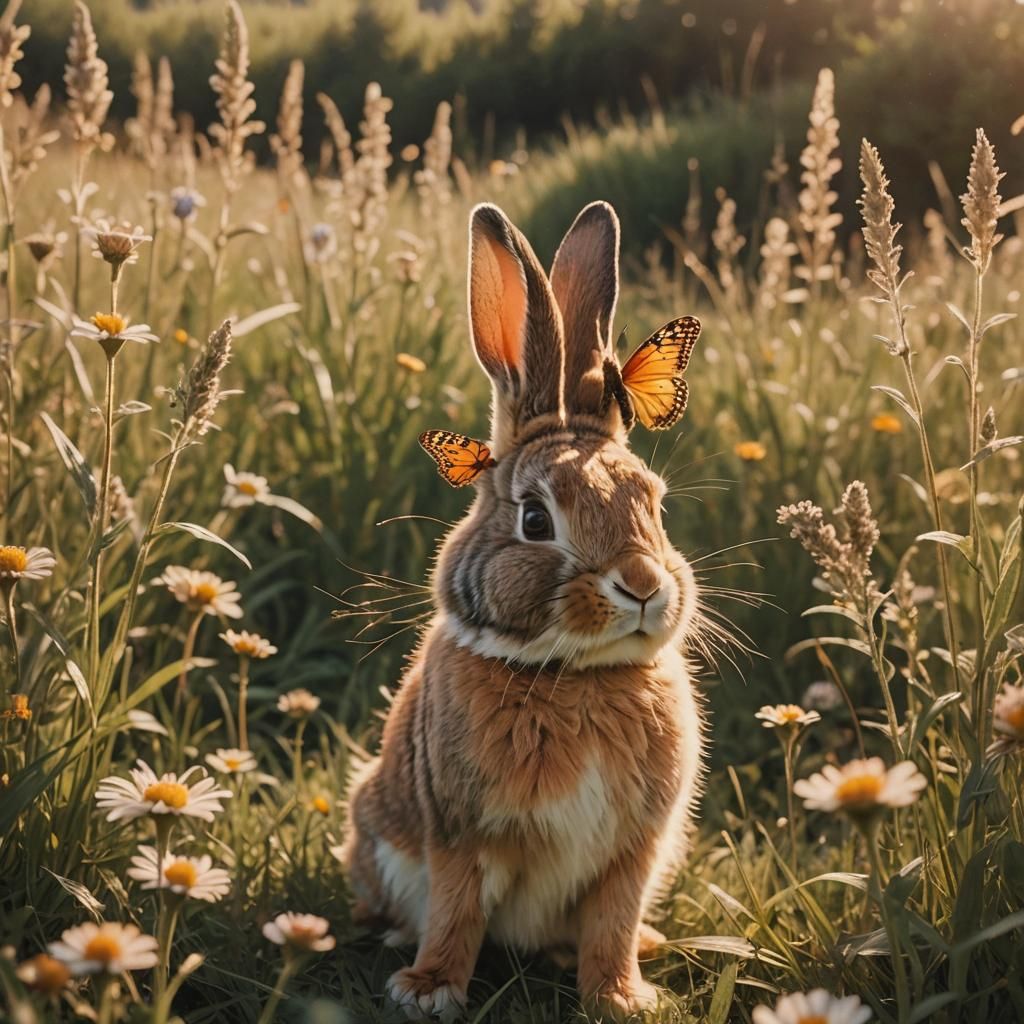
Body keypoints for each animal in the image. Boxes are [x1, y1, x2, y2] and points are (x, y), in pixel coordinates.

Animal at [343, 201, 705, 1020]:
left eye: (655, 506)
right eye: (536, 520)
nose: (642, 584)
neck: (576, 676)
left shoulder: (633, 853)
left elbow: (612, 924)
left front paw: (622, 997)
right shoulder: (460, 833)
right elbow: (456, 911)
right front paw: (428, 991)